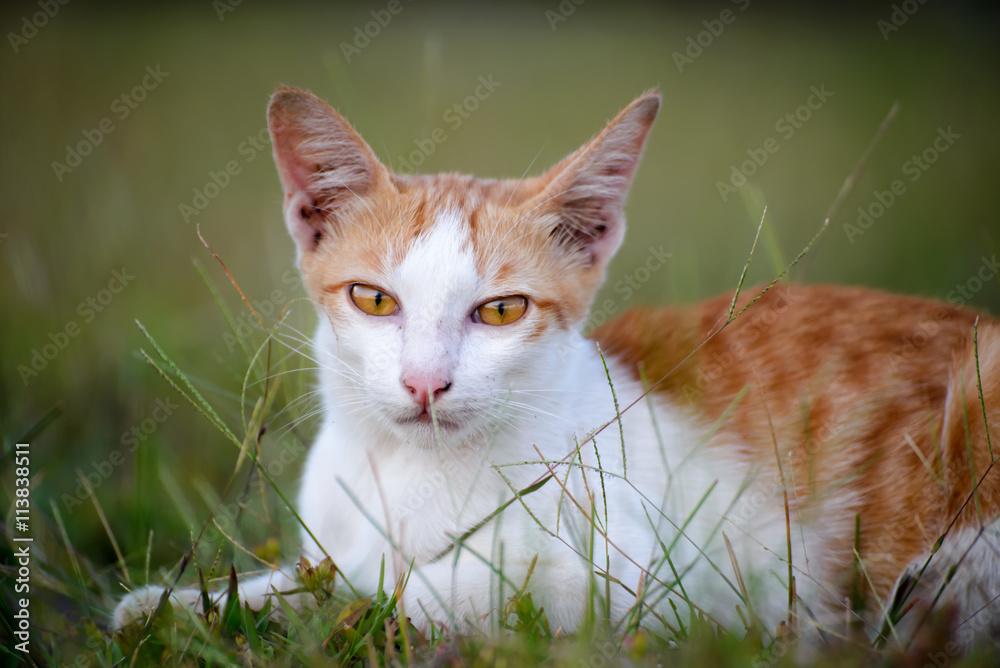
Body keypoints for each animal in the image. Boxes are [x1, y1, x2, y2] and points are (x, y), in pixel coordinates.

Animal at [115, 86, 1000, 648]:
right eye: (373, 299)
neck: (416, 473)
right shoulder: (333, 535)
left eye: (502, 312)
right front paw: (181, 607)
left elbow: (438, 584)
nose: (425, 383)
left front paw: (366, 606)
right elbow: (319, 573)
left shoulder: (660, 582)